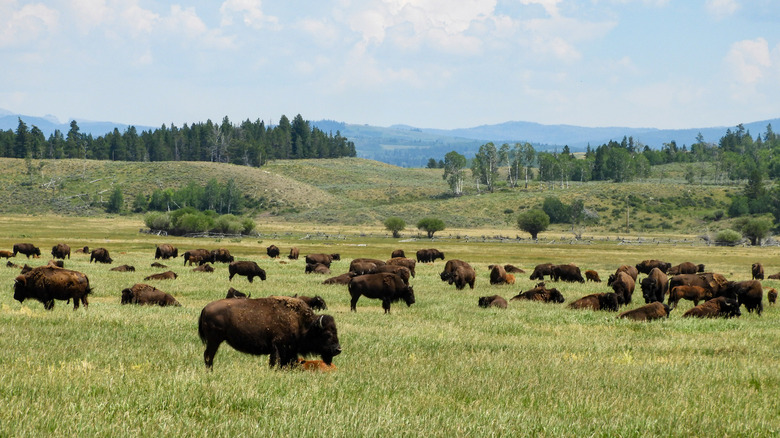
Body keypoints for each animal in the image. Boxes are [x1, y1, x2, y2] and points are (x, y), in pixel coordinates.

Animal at [198, 296, 342, 369]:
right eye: (327, 334)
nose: (338, 349)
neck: (302, 323)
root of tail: (205, 308)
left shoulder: (290, 351)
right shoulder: (278, 347)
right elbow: (275, 362)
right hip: (214, 341)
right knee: (208, 356)